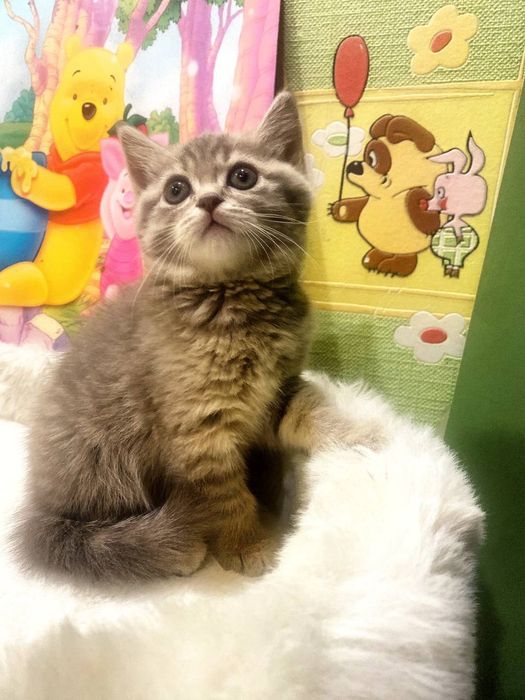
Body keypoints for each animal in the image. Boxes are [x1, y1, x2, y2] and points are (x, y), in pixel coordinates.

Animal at [15, 92, 378, 582]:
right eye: (176, 190)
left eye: (243, 176)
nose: (207, 200)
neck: (234, 304)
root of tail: (39, 503)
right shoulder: (199, 430)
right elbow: (224, 495)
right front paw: (246, 544)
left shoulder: (282, 384)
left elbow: (310, 412)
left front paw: (359, 432)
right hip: (103, 458)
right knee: (89, 537)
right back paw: (172, 548)